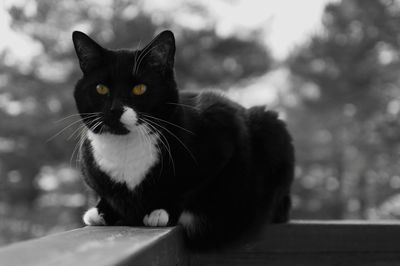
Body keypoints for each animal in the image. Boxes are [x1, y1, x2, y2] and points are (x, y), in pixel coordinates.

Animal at [72, 29, 296, 247]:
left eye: (140, 89)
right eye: (101, 88)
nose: (115, 109)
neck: (125, 146)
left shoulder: (222, 132)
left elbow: (187, 187)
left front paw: (161, 211)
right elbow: (106, 193)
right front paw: (101, 212)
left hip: (271, 128)